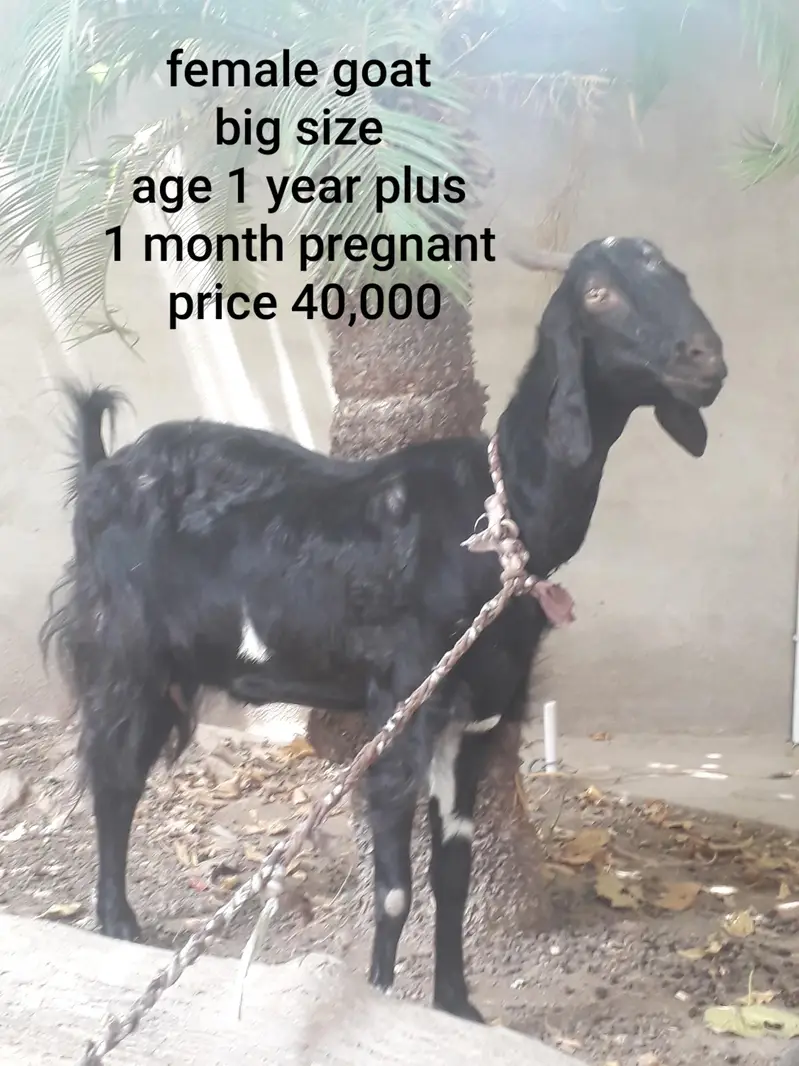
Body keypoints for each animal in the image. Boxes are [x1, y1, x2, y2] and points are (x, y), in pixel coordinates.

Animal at [42, 236, 727, 1024]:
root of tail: (100, 469)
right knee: (114, 775)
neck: (491, 517)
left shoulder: (477, 720)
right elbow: (394, 888)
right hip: (123, 652)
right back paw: (116, 922)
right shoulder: (401, 705)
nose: (706, 358)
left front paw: (456, 1006)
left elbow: (453, 875)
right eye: (597, 294)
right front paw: (377, 998)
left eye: (681, 276)